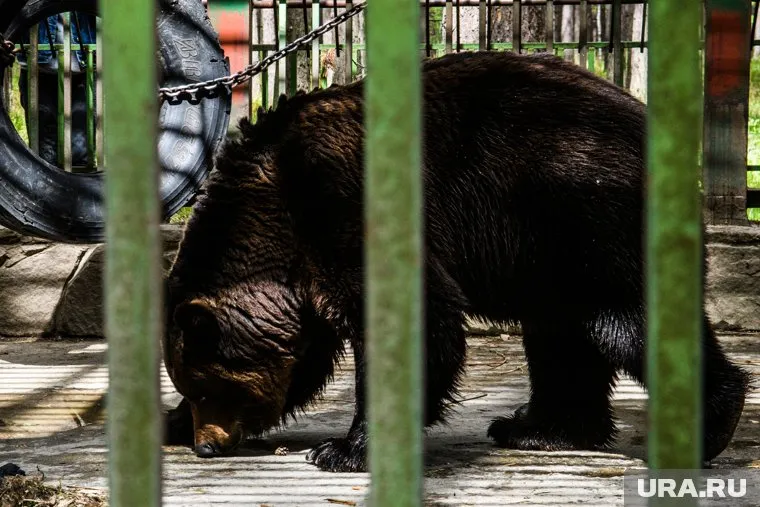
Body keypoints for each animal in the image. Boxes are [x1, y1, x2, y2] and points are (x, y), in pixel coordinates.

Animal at [162, 50, 750, 473]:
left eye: (210, 387)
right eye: (193, 389)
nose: (208, 446)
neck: (273, 214)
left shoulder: (338, 208)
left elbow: (421, 319)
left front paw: (342, 449)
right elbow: (305, 357)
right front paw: (170, 423)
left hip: (586, 210)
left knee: (622, 321)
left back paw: (709, 423)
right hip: (550, 252)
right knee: (560, 335)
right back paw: (537, 428)